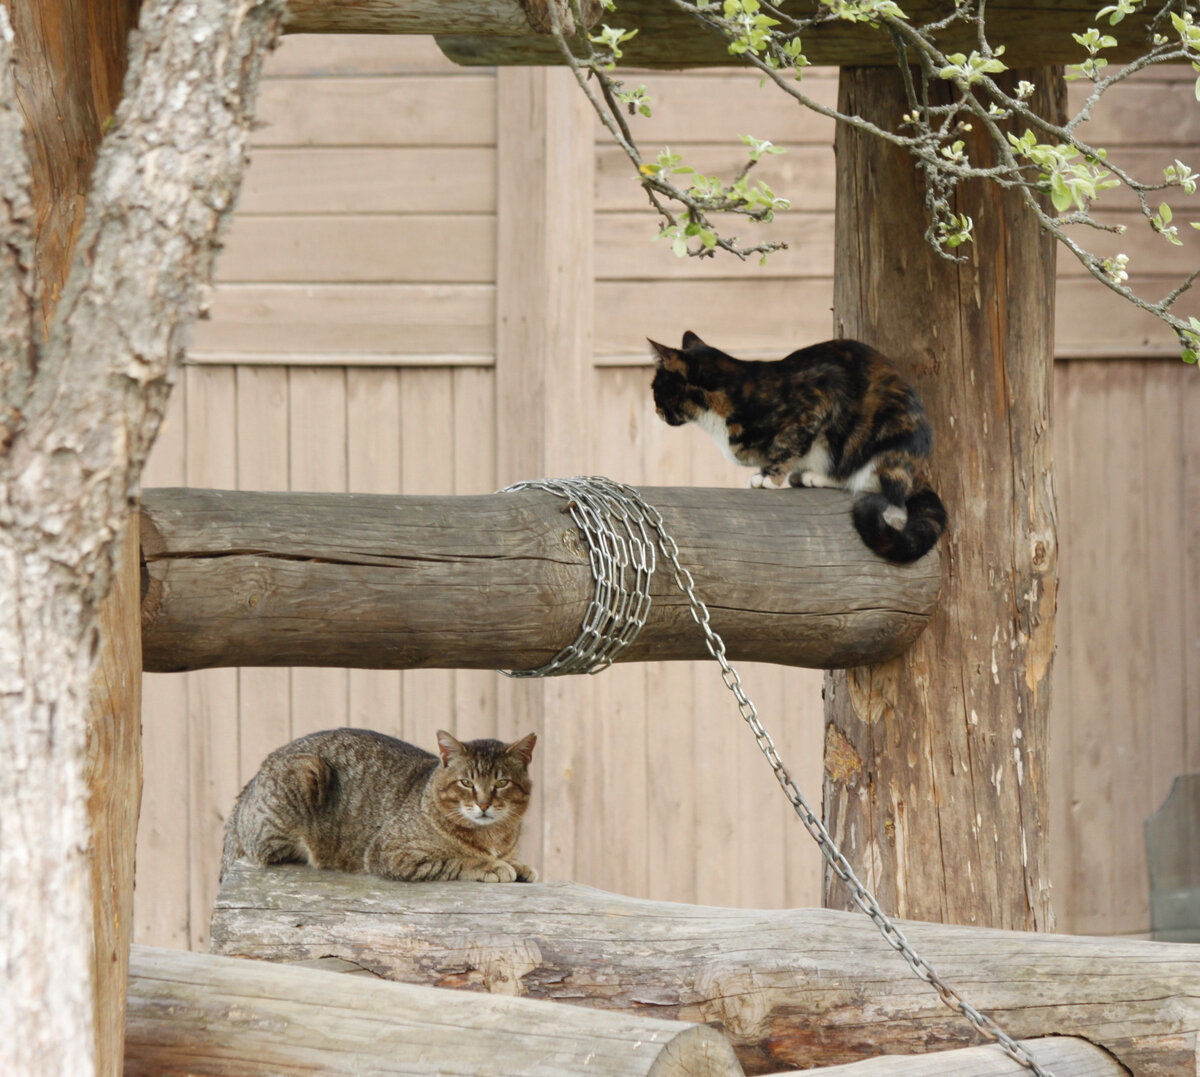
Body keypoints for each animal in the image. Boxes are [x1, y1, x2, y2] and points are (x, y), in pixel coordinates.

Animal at [224, 724, 540, 887]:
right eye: (466, 783)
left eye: (501, 783)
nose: (484, 803)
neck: (493, 836)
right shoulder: (390, 854)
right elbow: (459, 859)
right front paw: (492, 865)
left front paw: (517, 864)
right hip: (308, 772)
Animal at [657, 328, 945, 561]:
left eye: (656, 389)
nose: (657, 411)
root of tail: (920, 473)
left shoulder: (820, 394)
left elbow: (788, 443)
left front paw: (768, 478)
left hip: (887, 440)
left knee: (881, 487)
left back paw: (818, 477)